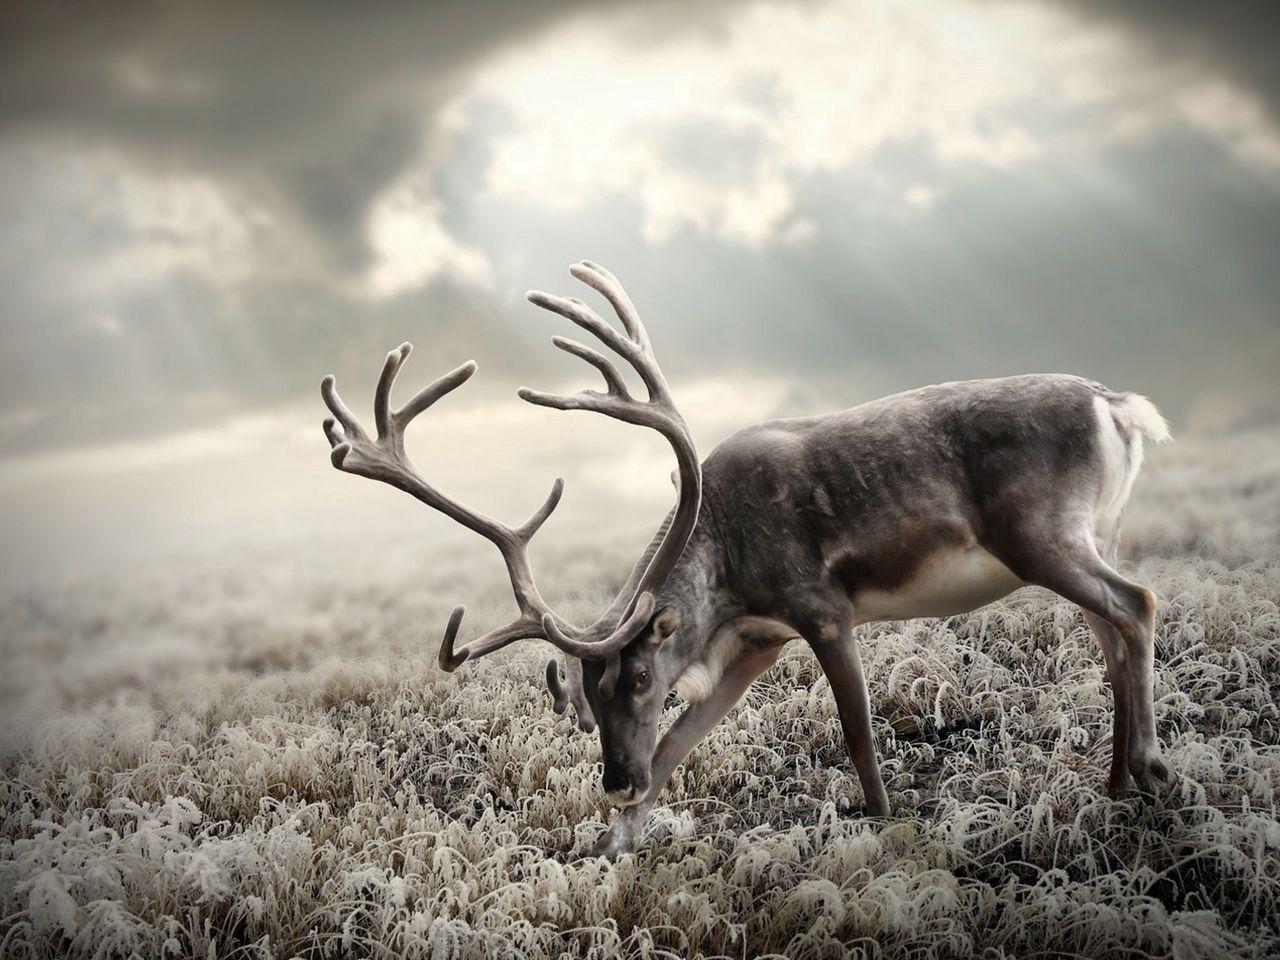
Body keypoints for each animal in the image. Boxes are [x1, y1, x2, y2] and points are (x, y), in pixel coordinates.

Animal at [321, 261, 1172, 858]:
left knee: (1137, 603)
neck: (727, 573)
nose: (614, 780)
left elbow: (858, 734)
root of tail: (1120, 407)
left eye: (637, 678)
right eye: (588, 694)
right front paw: (614, 843)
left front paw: (884, 822)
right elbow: (677, 745)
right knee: (1111, 632)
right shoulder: (758, 641)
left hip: (1040, 535)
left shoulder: (820, 608)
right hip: (1086, 536)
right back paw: (1117, 781)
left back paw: (1153, 767)